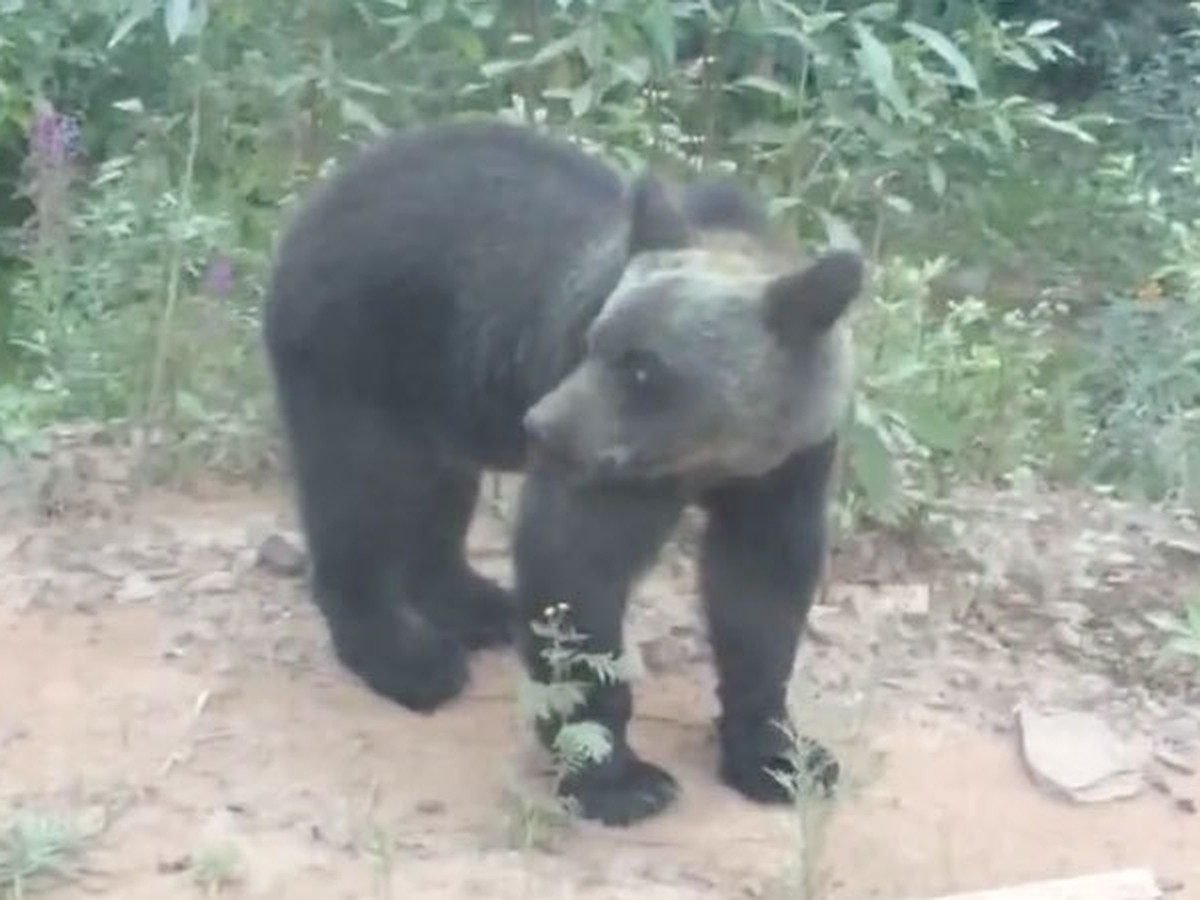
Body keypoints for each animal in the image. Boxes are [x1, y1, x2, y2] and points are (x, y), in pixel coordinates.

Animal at [262, 120, 864, 830]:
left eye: (643, 367)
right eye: (596, 340)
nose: (541, 425)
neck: (710, 455)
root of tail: (318, 199)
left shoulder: (787, 466)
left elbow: (761, 594)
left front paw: (780, 757)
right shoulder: (610, 469)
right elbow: (575, 569)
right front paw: (619, 777)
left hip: (441, 385)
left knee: (438, 494)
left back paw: (478, 604)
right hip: (357, 348)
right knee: (360, 492)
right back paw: (409, 658)